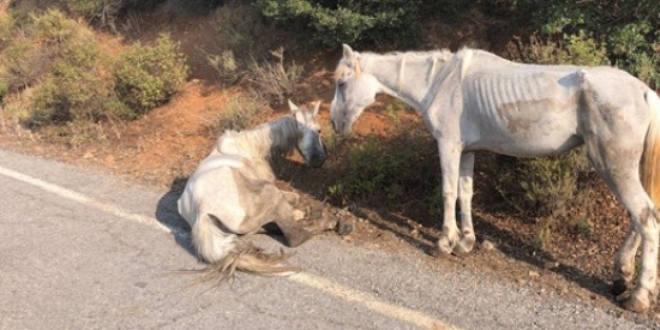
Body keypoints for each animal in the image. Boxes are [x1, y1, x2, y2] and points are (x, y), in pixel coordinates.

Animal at [328, 43, 660, 312]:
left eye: (342, 83)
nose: (333, 123)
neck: (441, 82)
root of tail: (644, 92)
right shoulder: (467, 150)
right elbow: (465, 193)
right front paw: (465, 242)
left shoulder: (448, 145)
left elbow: (448, 192)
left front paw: (443, 243)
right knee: (640, 218)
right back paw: (621, 277)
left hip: (613, 166)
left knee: (645, 218)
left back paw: (639, 297)